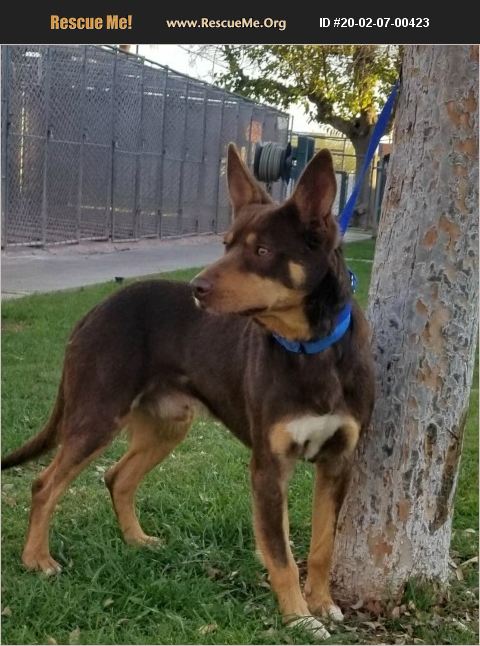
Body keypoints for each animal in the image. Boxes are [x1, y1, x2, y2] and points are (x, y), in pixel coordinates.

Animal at [1, 146, 376, 636]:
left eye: (262, 250)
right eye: (226, 244)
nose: (197, 287)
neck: (311, 350)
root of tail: (93, 311)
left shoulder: (338, 462)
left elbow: (322, 546)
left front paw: (323, 603)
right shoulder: (268, 468)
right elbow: (281, 556)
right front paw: (298, 617)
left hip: (167, 426)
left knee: (116, 476)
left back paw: (136, 540)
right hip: (98, 415)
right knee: (45, 484)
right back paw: (36, 559)